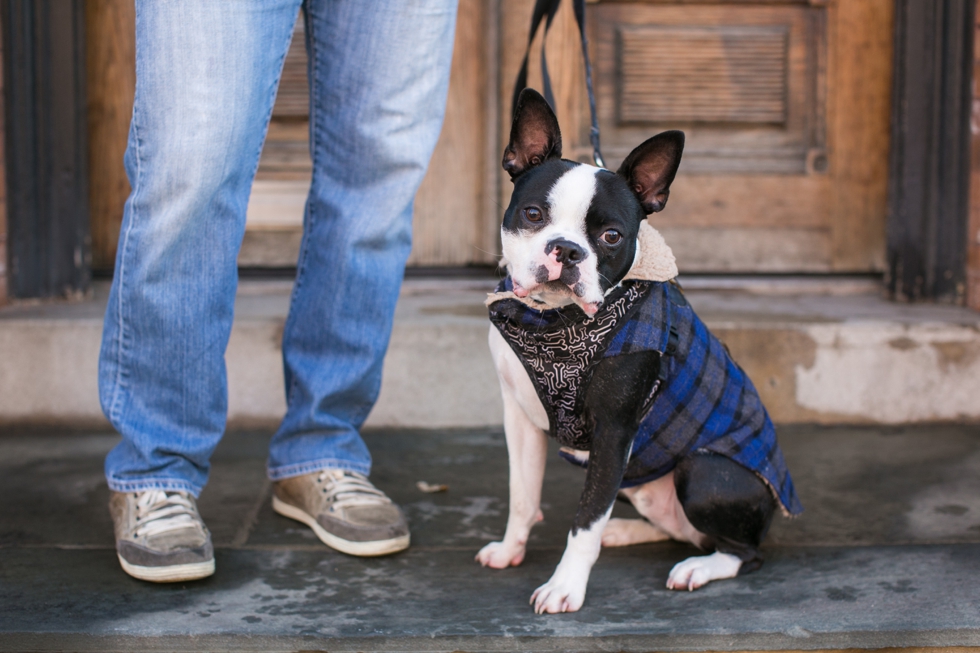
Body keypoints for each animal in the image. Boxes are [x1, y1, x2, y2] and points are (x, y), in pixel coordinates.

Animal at [476, 89, 804, 612]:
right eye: (533, 215)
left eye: (611, 236)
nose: (566, 250)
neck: (553, 324)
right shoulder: (520, 417)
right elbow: (522, 495)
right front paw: (511, 550)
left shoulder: (614, 433)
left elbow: (586, 519)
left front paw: (565, 586)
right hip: (640, 481)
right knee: (674, 528)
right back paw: (626, 531)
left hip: (703, 470)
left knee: (742, 551)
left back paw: (698, 567)